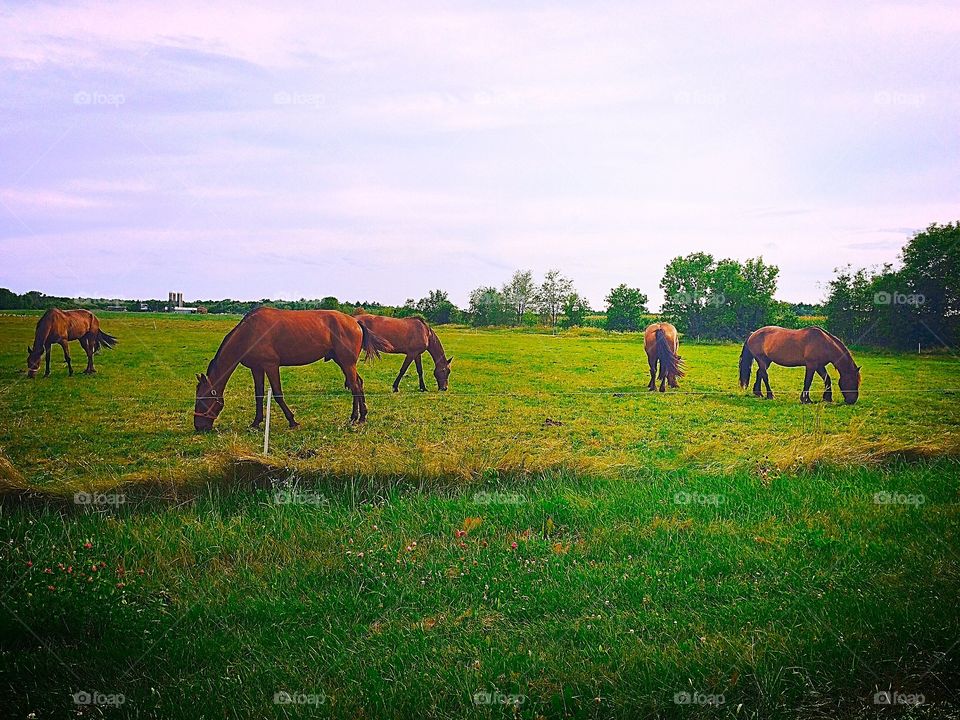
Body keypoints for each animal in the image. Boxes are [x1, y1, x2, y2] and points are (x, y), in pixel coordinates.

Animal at [193, 307, 389, 432]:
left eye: (202, 400)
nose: (198, 427)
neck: (249, 333)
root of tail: (355, 321)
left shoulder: (271, 366)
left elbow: (278, 394)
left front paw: (292, 421)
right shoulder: (257, 368)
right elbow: (259, 395)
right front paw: (256, 422)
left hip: (347, 363)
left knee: (355, 387)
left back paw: (358, 418)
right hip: (343, 362)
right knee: (358, 384)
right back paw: (358, 417)